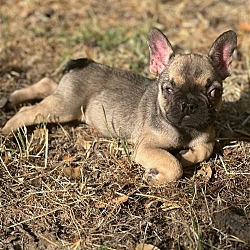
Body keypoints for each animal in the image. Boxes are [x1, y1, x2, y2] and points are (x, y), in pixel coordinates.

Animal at [1, 29, 236, 185]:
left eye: (214, 92)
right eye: (168, 89)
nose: (188, 104)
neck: (185, 131)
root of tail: (84, 63)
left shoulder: (206, 139)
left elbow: (204, 150)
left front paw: (184, 155)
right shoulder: (145, 147)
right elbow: (173, 166)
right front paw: (156, 176)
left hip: (65, 100)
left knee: (47, 84)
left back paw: (12, 98)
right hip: (64, 107)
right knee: (29, 111)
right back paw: (8, 129)